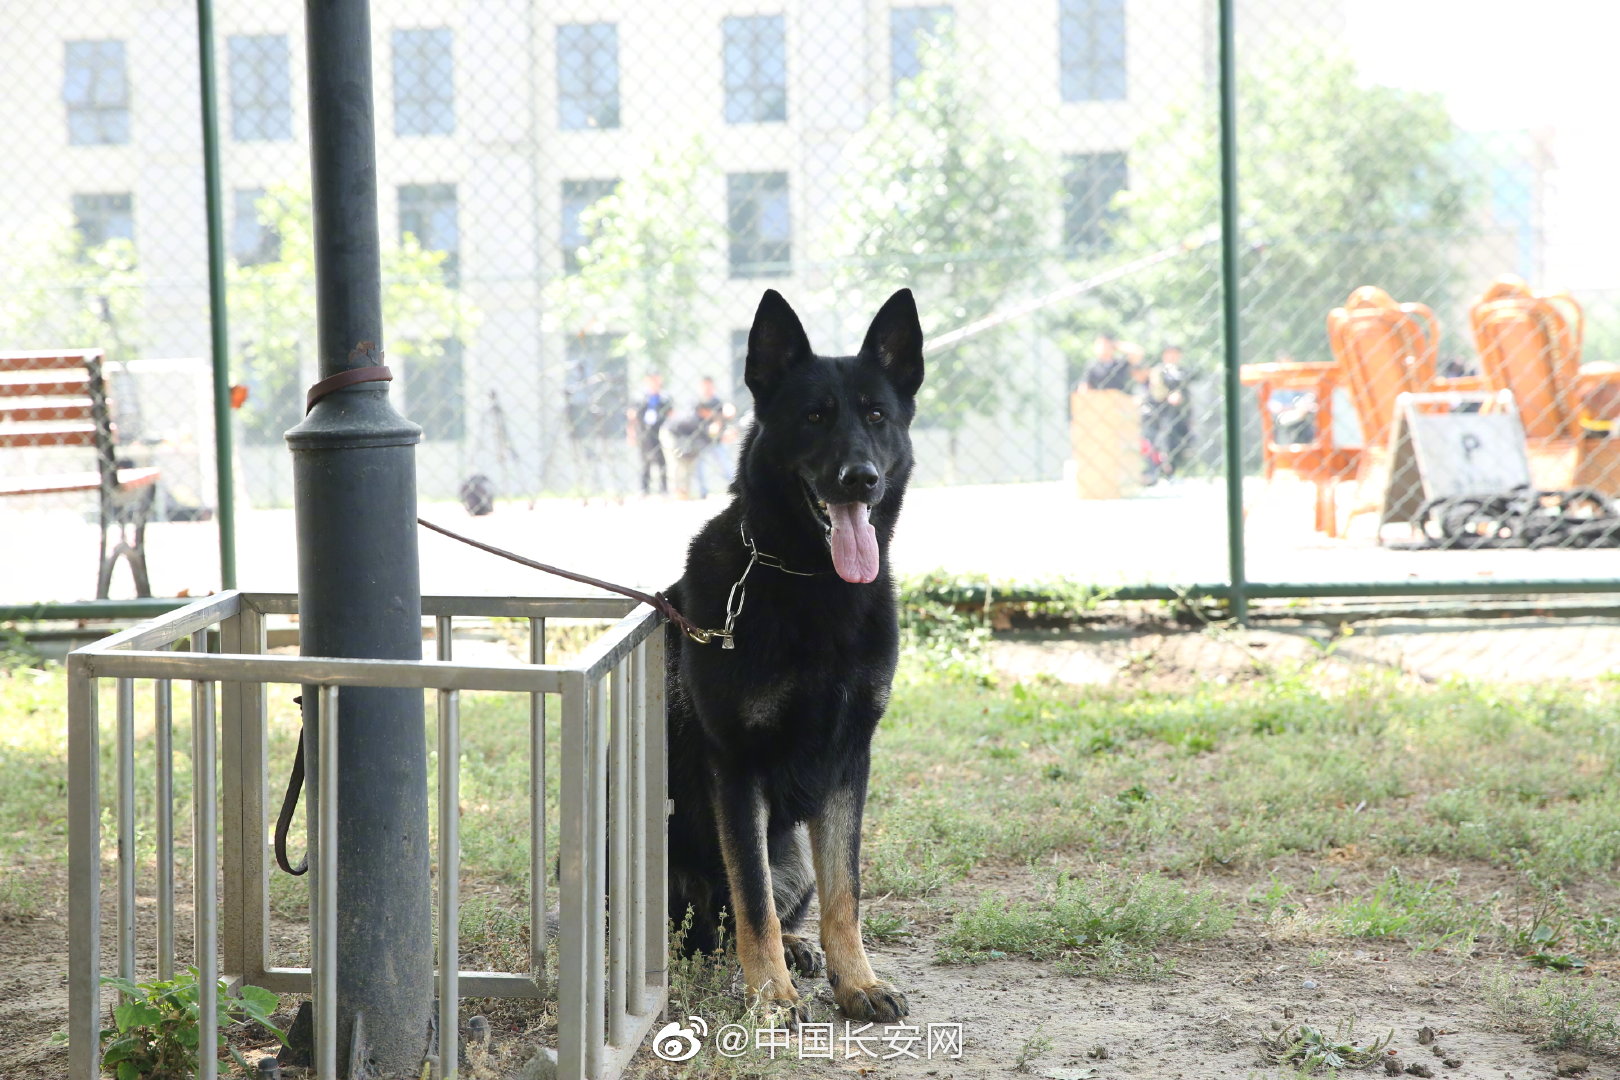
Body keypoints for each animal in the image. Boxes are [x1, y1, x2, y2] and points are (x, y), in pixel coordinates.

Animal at [664, 286, 926, 1023]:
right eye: (814, 417)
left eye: (876, 415)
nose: (860, 479)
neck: (810, 581)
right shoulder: (737, 768)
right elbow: (752, 898)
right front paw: (771, 997)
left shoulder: (849, 762)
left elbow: (846, 893)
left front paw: (856, 981)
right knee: (712, 924)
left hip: (794, 862)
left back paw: (803, 949)